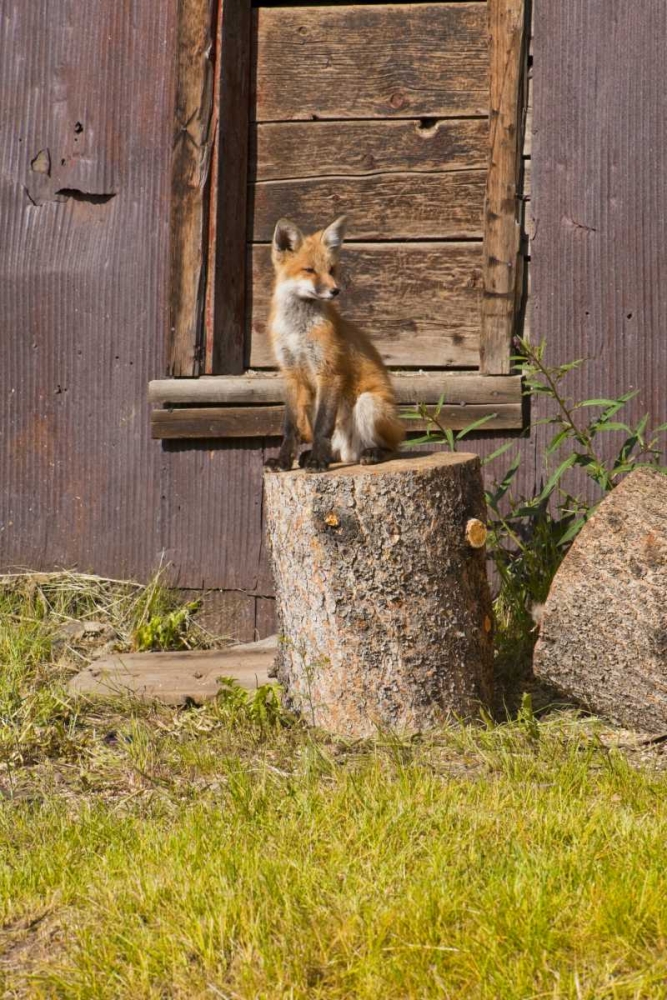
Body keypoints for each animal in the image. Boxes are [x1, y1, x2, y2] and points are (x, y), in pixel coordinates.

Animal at [264, 216, 404, 472]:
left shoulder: (329, 372)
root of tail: (350, 453)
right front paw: (282, 461)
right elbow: (290, 428)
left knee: (393, 448)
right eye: (309, 270)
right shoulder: (291, 374)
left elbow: (323, 426)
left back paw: (371, 453)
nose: (335, 290)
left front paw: (318, 462)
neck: (298, 331)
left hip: (368, 403)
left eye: (331, 270)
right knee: (334, 450)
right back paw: (318, 456)